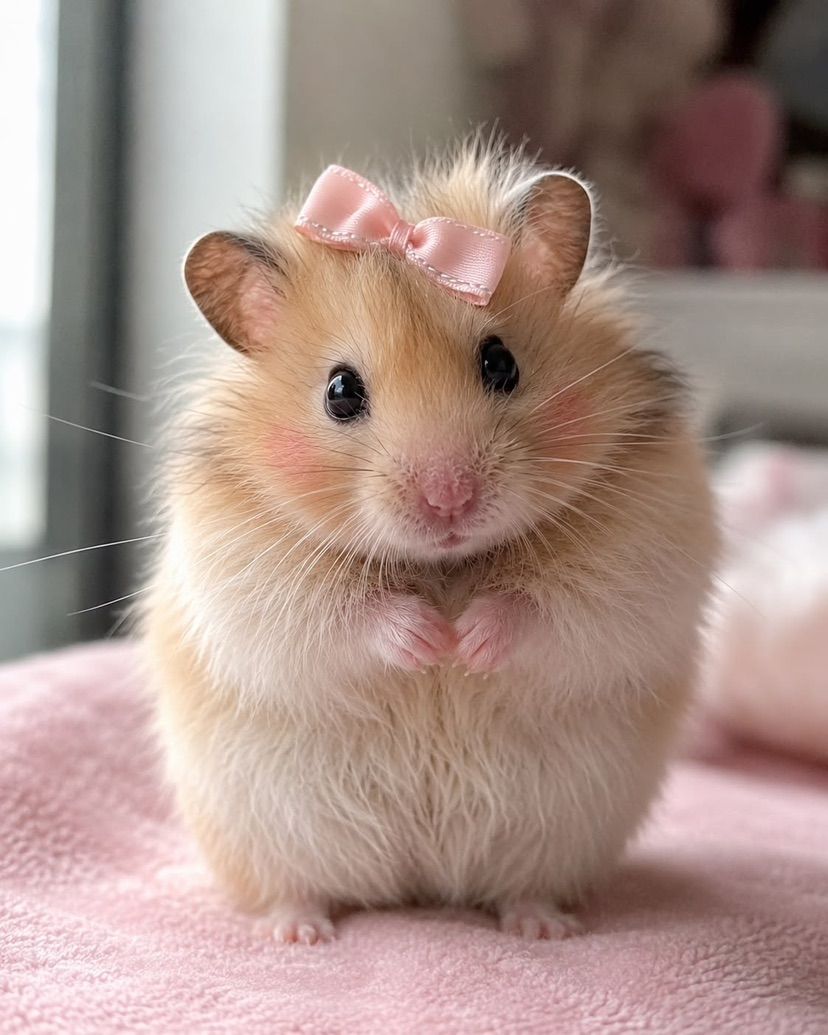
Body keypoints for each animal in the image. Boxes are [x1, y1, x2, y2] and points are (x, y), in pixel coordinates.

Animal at [145, 140, 717, 944]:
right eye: (340, 391)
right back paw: (299, 933)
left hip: (557, 833)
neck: (444, 566)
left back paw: (542, 927)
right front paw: (429, 643)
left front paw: (466, 643)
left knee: (522, 885)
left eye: (501, 362)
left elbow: (550, 607)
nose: (450, 499)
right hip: (262, 832)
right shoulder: (244, 573)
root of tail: (419, 885)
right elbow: (343, 614)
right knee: (294, 887)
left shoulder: (645, 551)